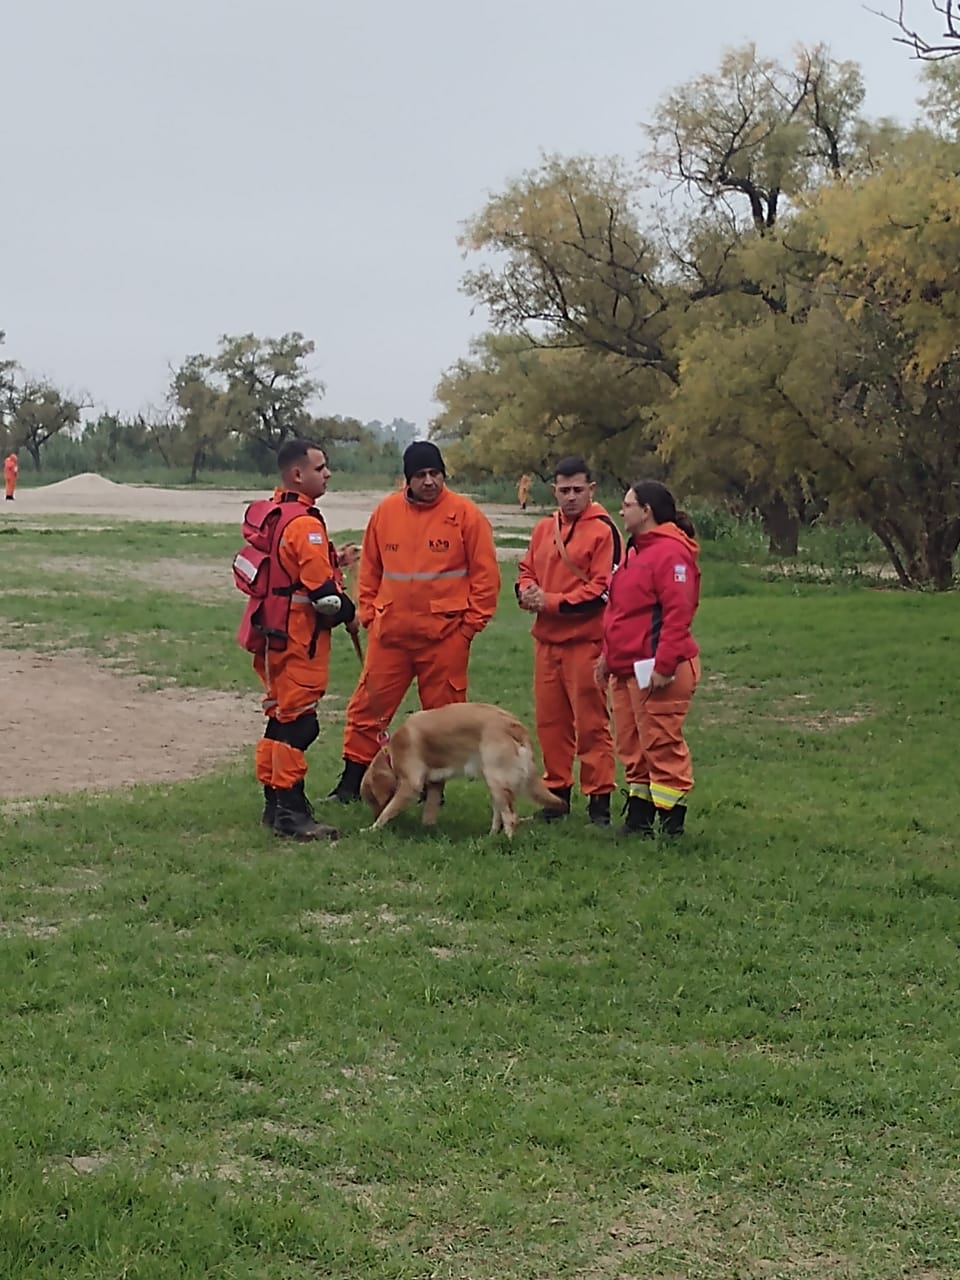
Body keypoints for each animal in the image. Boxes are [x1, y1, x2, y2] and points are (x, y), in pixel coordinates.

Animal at [363, 701, 568, 839]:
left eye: (371, 800)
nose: (372, 814)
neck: (390, 751)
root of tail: (515, 725)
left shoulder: (411, 785)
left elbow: (387, 811)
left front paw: (372, 828)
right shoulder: (435, 783)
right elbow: (429, 810)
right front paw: (428, 828)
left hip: (497, 779)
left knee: (511, 817)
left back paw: (507, 843)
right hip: (493, 781)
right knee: (499, 813)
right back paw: (490, 837)